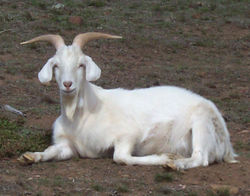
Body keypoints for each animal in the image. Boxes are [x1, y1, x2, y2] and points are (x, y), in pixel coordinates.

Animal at [18, 32, 237, 168]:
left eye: (81, 64)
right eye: (56, 65)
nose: (67, 84)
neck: (80, 116)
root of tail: (227, 146)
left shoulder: (128, 135)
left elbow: (121, 157)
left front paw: (165, 157)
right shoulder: (67, 147)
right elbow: (51, 151)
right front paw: (30, 156)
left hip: (201, 123)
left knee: (200, 158)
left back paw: (176, 163)